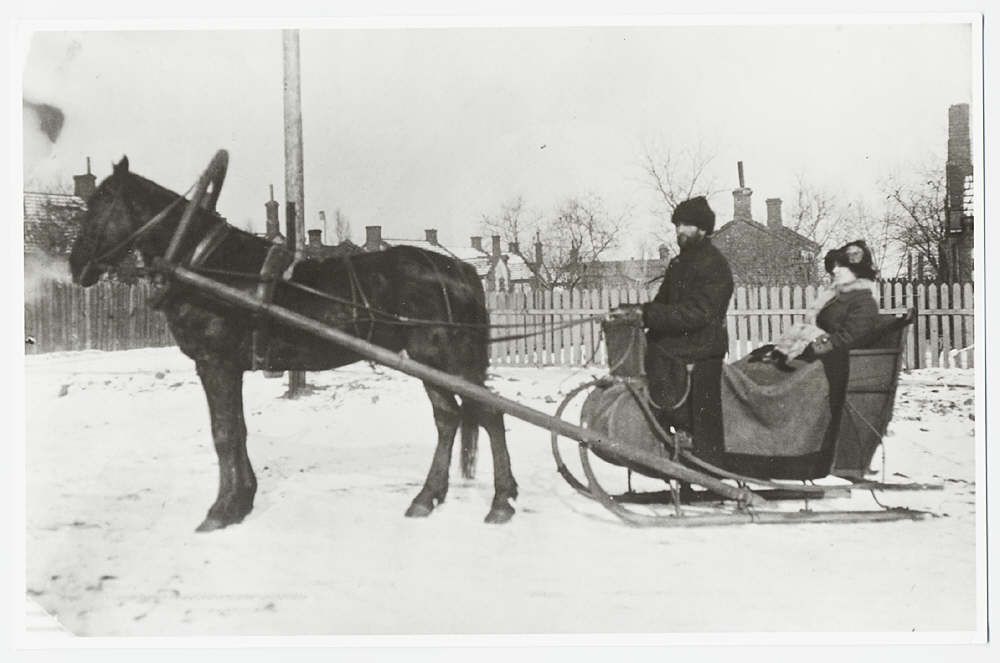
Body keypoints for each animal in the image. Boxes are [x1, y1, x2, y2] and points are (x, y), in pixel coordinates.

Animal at [68, 154, 516, 528]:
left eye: (102, 202)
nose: (75, 266)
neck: (201, 264)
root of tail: (458, 271)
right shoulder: (229, 367)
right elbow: (238, 430)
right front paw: (242, 500)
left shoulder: (215, 363)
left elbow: (223, 433)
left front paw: (221, 510)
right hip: (429, 360)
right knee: (448, 417)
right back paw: (427, 497)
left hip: (448, 357)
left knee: (489, 414)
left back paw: (501, 502)